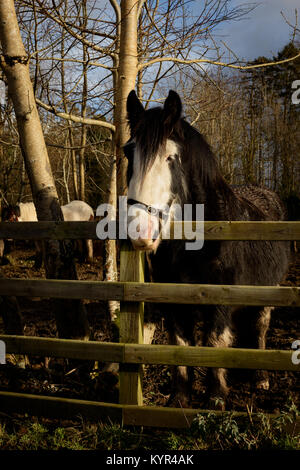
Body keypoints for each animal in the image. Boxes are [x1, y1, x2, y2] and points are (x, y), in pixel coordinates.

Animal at [124, 90, 290, 410]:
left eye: (170, 157)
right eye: (129, 153)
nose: (140, 231)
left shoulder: (220, 301)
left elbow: (214, 342)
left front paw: (215, 397)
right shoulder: (175, 303)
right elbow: (181, 345)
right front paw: (180, 397)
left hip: (268, 292)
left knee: (259, 328)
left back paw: (260, 377)